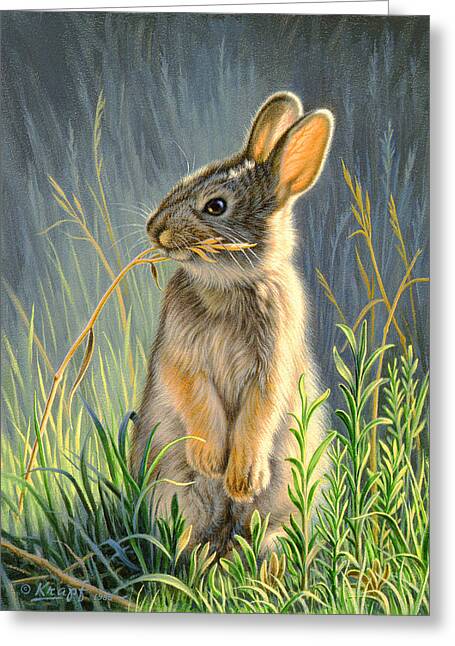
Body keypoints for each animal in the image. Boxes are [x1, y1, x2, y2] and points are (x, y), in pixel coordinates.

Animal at [130, 92, 334, 555]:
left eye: (216, 206)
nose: (155, 229)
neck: (229, 284)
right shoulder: (180, 355)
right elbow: (195, 395)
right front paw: (211, 460)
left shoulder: (272, 363)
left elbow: (259, 414)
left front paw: (241, 478)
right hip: (171, 491)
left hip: (283, 501)